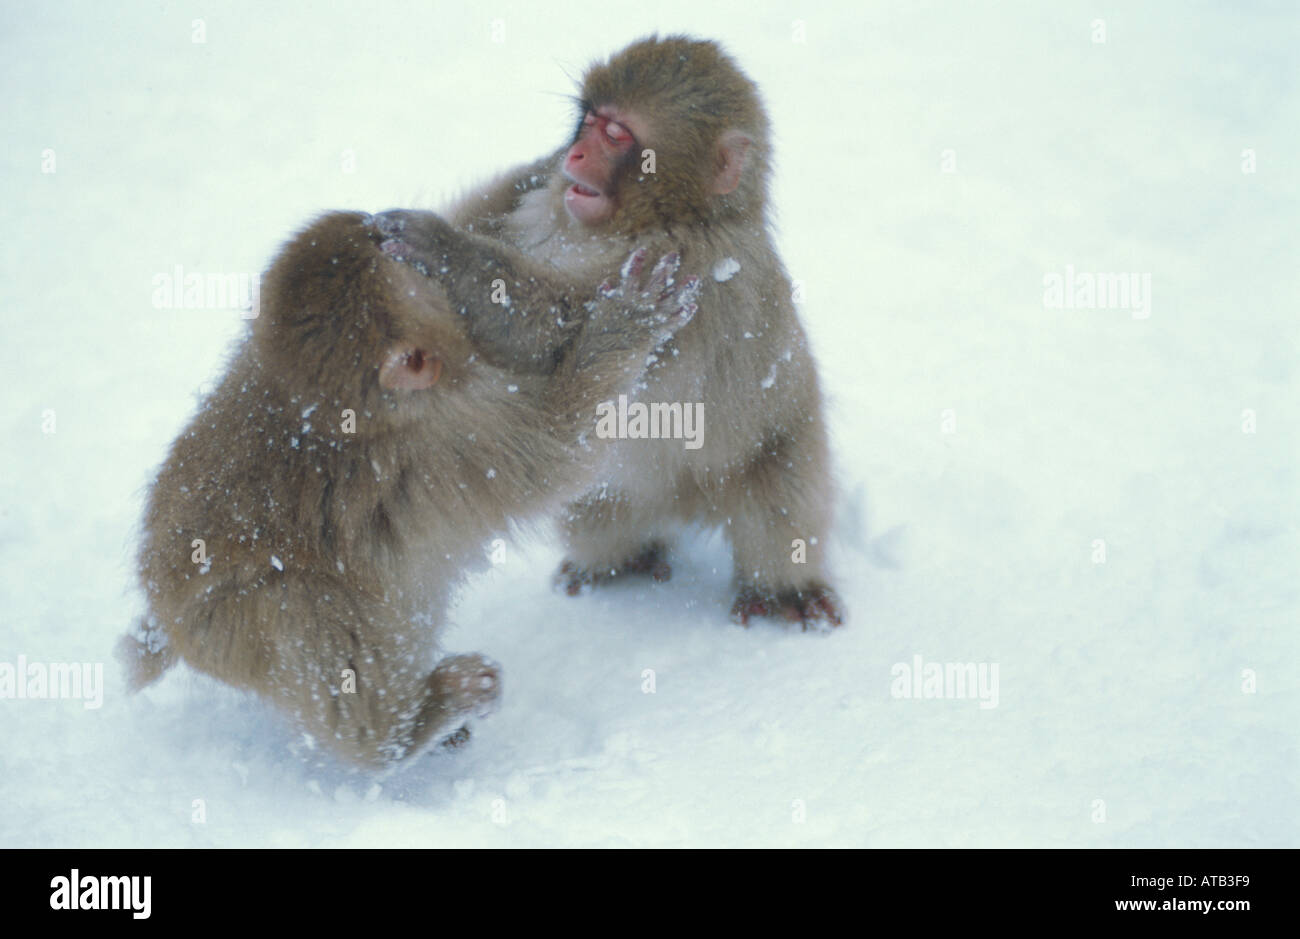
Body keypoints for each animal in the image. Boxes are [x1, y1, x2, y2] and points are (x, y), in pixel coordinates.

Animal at [122, 211, 702, 769]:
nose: (377, 226)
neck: (339, 410)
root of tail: (167, 619)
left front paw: (444, 247)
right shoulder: (448, 445)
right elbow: (558, 450)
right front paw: (625, 323)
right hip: (227, 623)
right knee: (300, 608)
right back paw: (406, 733)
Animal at [377, 32, 842, 624]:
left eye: (617, 135)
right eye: (589, 121)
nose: (575, 155)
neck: (671, 215)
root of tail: (687, 502)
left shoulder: (692, 268)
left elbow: (557, 329)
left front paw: (441, 247)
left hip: (781, 447)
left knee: (782, 510)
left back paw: (781, 591)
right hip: (615, 496)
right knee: (595, 510)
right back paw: (618, 563)